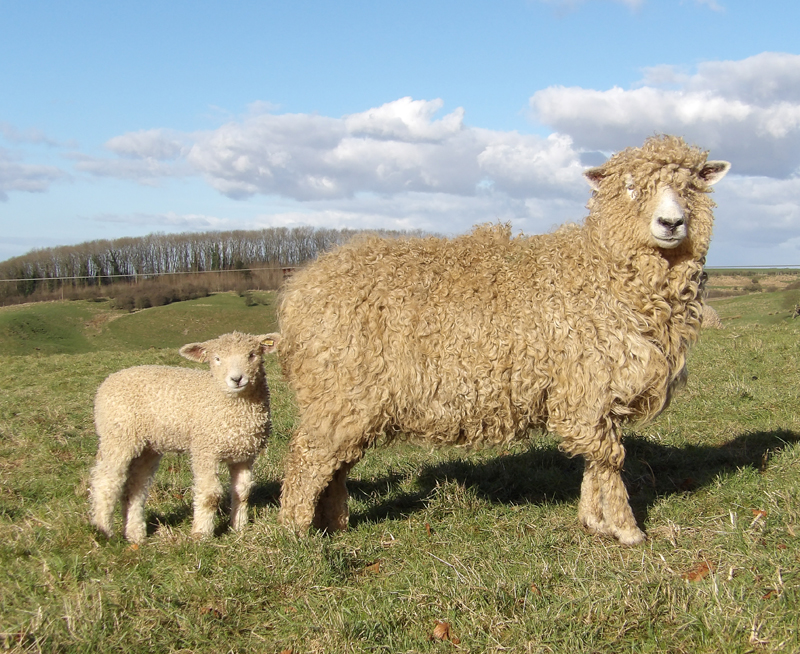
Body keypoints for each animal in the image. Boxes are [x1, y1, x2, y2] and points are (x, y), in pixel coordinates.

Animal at [278, 136, 728, 544]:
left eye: (690, 186)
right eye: (631, 187)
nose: (671, 224)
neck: (600, 271)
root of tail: (301, 288)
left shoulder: (595, 392)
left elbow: (595, 459)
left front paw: (594, 520)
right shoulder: (588, 382)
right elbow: (609, 459)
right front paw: (627, 529)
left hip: (347, 401)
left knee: (335, 464)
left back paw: (334, 524)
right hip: (337, 389)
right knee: (306, 458)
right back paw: (297, 533)